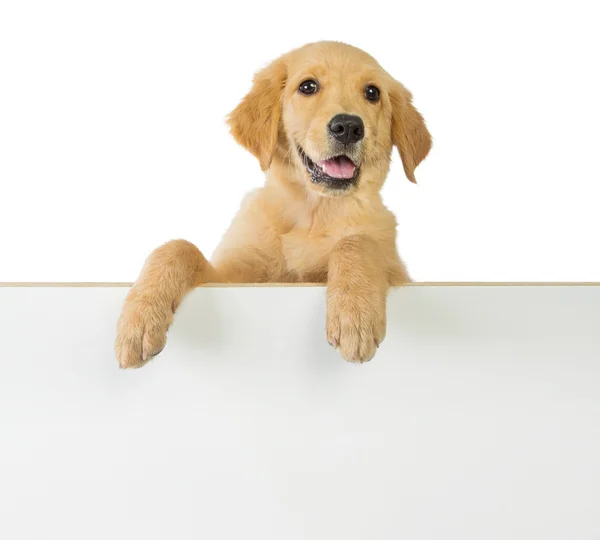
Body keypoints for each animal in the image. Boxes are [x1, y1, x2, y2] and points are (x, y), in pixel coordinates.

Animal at [113, 41, 432, 368]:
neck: (313, 212)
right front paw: (139, 319)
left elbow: (356, 242)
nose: (348, 126)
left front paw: (354, 317)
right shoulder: (231, 279)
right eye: (308, 86)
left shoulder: (400, 273)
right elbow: (178, 247)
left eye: (372, 92)